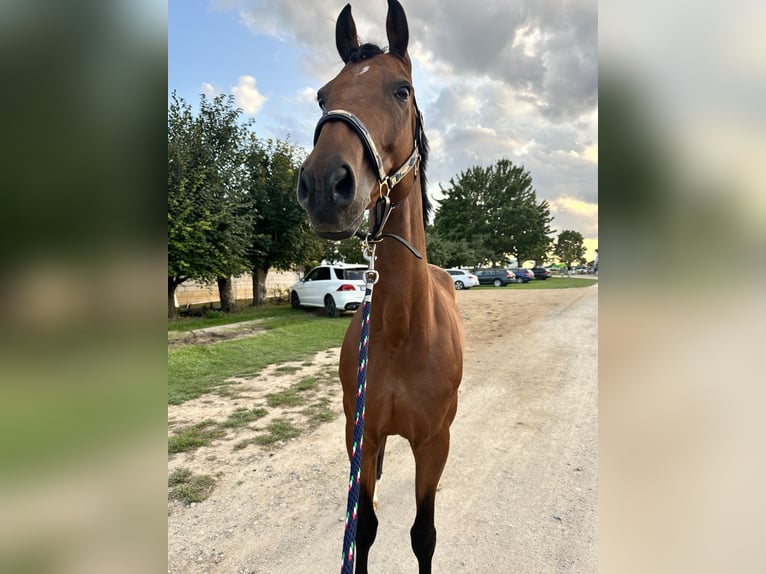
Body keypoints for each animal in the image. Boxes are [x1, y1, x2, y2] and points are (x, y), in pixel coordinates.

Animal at [296, 2, 464, 572]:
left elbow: (424, 535)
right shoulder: (361, 437)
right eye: (323, 95)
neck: (399, 329)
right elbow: (362, 527)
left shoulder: (433, 445)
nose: (325, 185)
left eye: (401, 90)